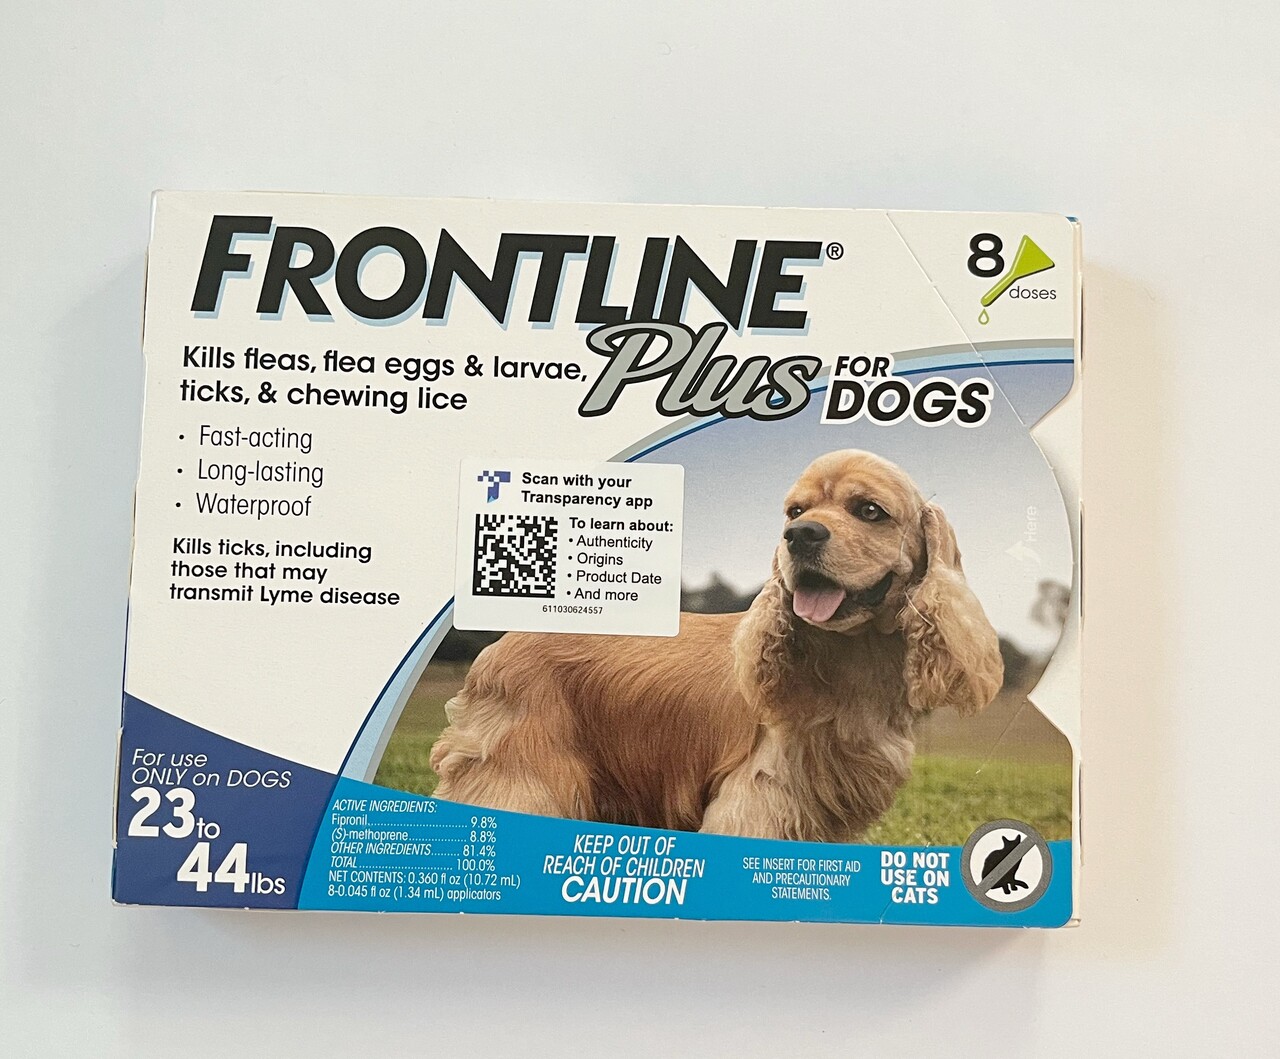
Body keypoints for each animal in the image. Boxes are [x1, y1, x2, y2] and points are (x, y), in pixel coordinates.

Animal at [430, 449, 1003, 842]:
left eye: (869, 510)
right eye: (795, 511)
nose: (801, 535)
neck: (851, 658)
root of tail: (501, 642)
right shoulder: (761, 797)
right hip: (519, 774)